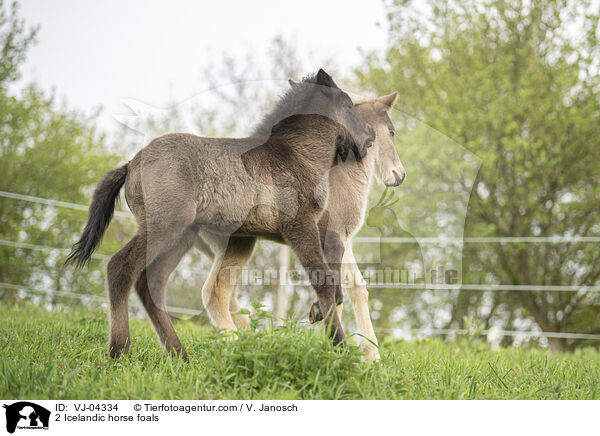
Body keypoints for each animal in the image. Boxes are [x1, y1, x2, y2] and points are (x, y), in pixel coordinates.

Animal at [67, 69, 376, 362]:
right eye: (349, 105)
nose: (370, 134)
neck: (296, 155)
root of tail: (131, 163)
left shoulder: (311, 229)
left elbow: (335, 271)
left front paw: (321, 318)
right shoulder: (299, 225)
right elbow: (323, 280)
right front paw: (340, 349)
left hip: (181, 236)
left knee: (151, 282)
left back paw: (180, 356)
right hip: (162, 226)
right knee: (120, 267)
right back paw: (119, 351)